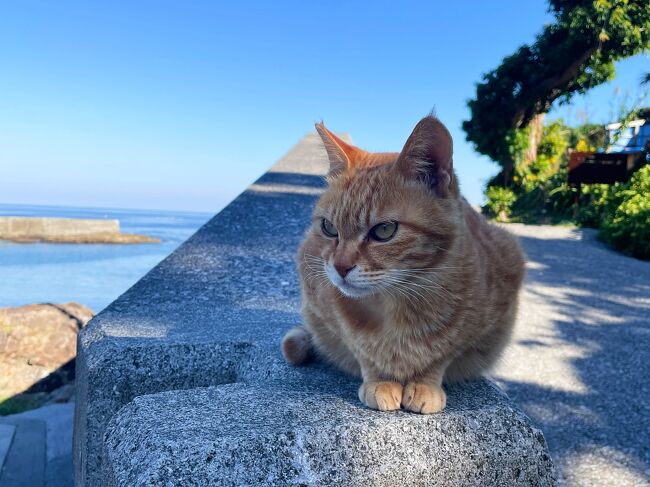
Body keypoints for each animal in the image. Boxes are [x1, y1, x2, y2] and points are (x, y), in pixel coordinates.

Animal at [280, 116, 524, 414]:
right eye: (328, 228)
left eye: (384, 230)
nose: (340, 267)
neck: (398, 307)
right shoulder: (323, 310)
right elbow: (362, 350)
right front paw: (379, 380)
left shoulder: (485, 320)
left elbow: (442, 354)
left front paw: (424, 384)